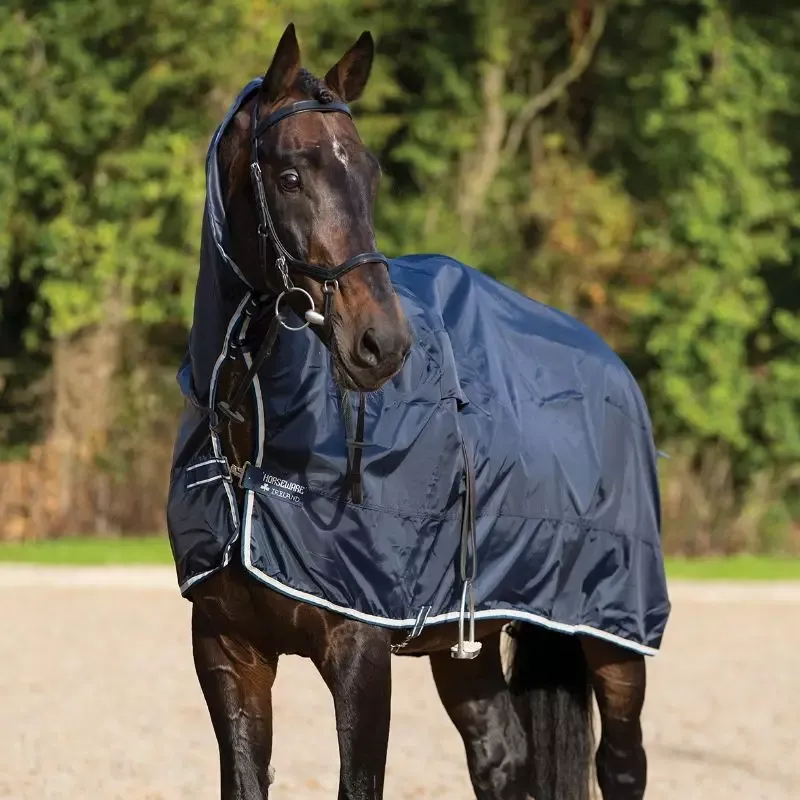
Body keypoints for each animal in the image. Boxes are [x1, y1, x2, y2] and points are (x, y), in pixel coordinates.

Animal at [174, 23, 659, 800]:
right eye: (290, 175)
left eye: (369, 174)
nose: (382, 342)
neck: (255, 440)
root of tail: (609, 363)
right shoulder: (227, 652)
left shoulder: (360, 650)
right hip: (473, 640)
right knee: (501, 756)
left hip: (612, 636)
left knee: (620, 764)